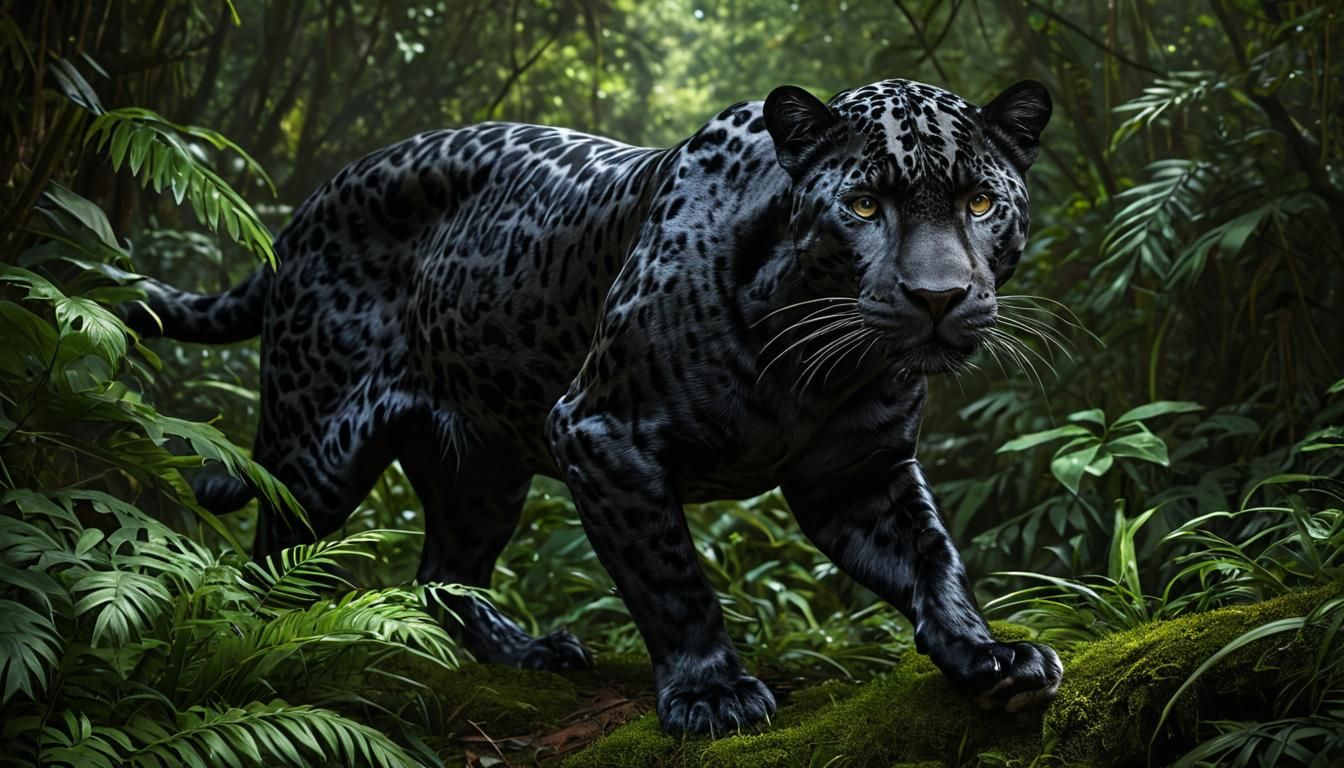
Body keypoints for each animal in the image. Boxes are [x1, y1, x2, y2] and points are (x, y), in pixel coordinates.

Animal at [126, 77, 1063, 736]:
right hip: (314, 454)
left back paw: (528, 652)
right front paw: (712, 694)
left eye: (980, 201)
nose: (938, 297)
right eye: (865, 204)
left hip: (482, 468)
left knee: (441, 573)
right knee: (266, 570)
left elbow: (933, 559)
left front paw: (989, 654)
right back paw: (257, 666)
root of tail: (306, 210)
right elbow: (670, 577)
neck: (815, 362)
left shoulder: (859, 471)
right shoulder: (601, 433)